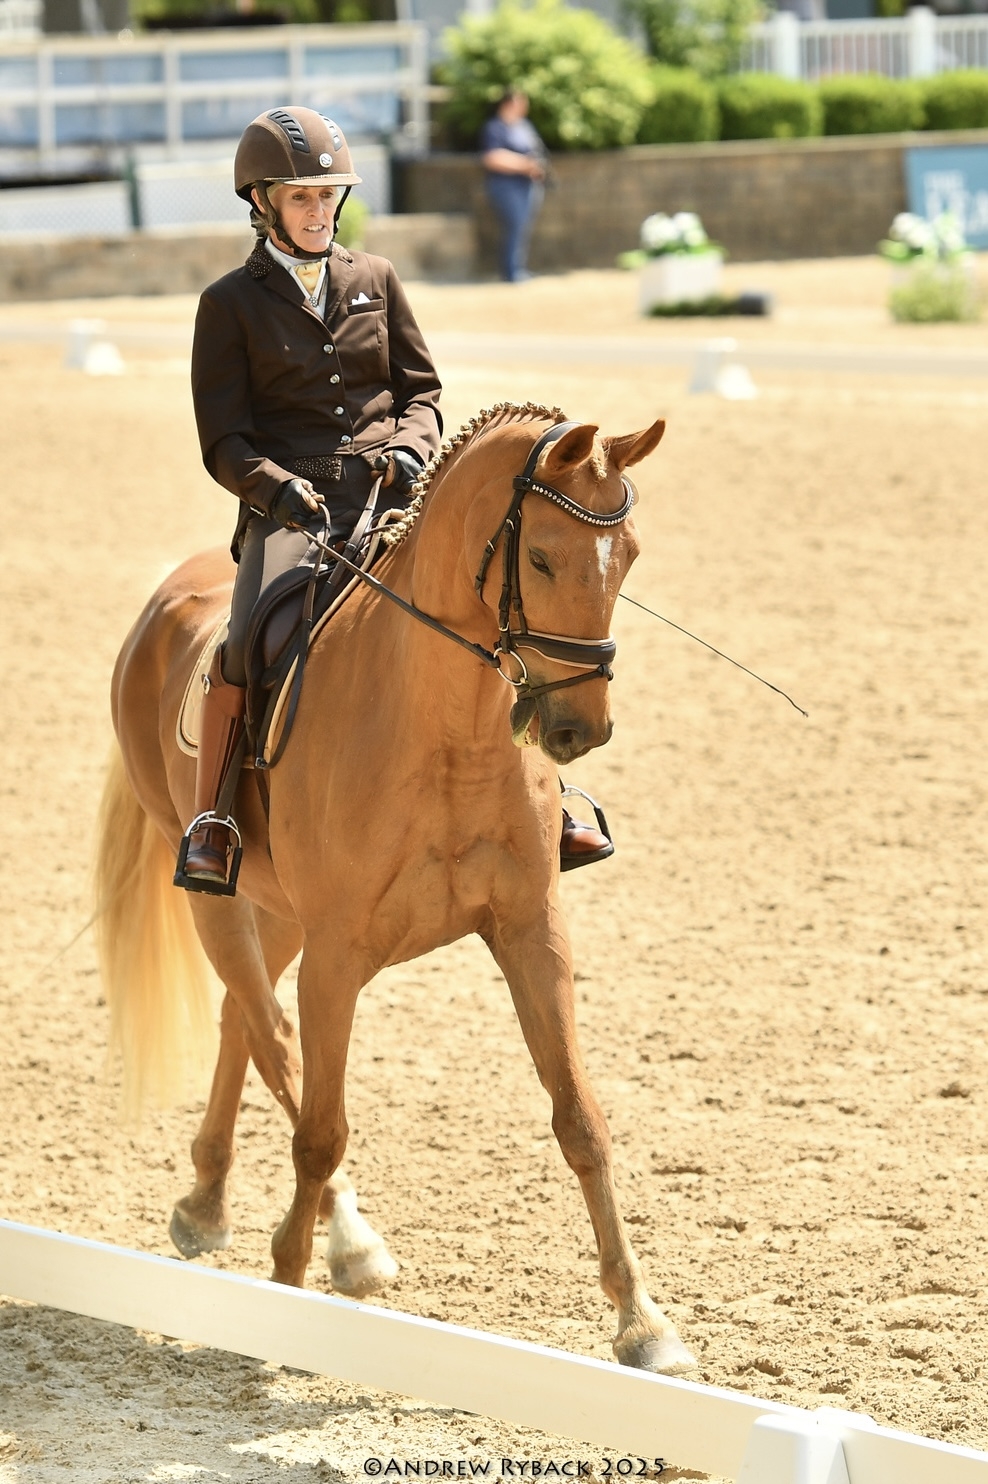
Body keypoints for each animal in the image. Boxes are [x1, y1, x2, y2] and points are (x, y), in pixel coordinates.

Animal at [95, 401, 696, 1375]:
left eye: (630, 557)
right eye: (541, 559)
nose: (580, 728)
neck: (450, 732)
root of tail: (166, 596)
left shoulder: (532, 932)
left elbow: (581, 1119)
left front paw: (644, 1324)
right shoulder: (339, 955)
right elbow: (319, 1127)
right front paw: (291, 1287)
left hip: (278, 912)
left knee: (243, 1021)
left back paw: (208, 1202)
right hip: (217, 898)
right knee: (272, 1040)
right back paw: (345, 1243)